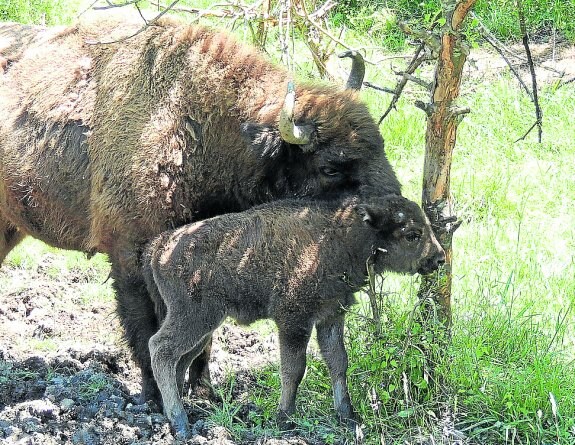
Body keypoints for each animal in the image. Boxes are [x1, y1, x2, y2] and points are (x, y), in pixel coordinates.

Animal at [0, 15, 402, 404]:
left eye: (381, 145)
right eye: (330, 167)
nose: (394, 211)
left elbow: (202, 337)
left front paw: (205, 392)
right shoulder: (129, 256)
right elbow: (146, 328)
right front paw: (155, 397)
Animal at [143, 195, 446, 438]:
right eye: (412, 234)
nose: (440, 258)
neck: (339, 238)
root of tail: (159, 246)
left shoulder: (331, 317)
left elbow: (339, 363)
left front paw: (348, 416)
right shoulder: (294, 322)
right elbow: (294, 369)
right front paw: (284, 417)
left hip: (203, 325)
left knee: (181, 359)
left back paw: (175, 412)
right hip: (194, 318)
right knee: (161, 349)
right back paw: (180, 423)